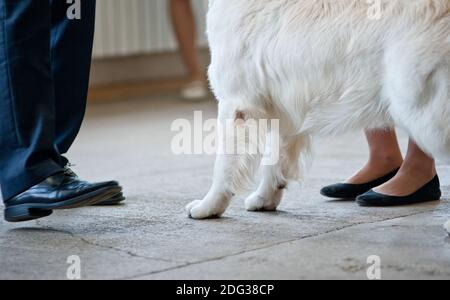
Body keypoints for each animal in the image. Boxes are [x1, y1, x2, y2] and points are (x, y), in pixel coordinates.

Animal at [185, 0, 448, 224]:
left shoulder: (236, 103)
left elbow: (223, 166)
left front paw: (208, 207)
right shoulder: (283, 106)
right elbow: (273, 159)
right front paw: (265, 198)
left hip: (423, 108)